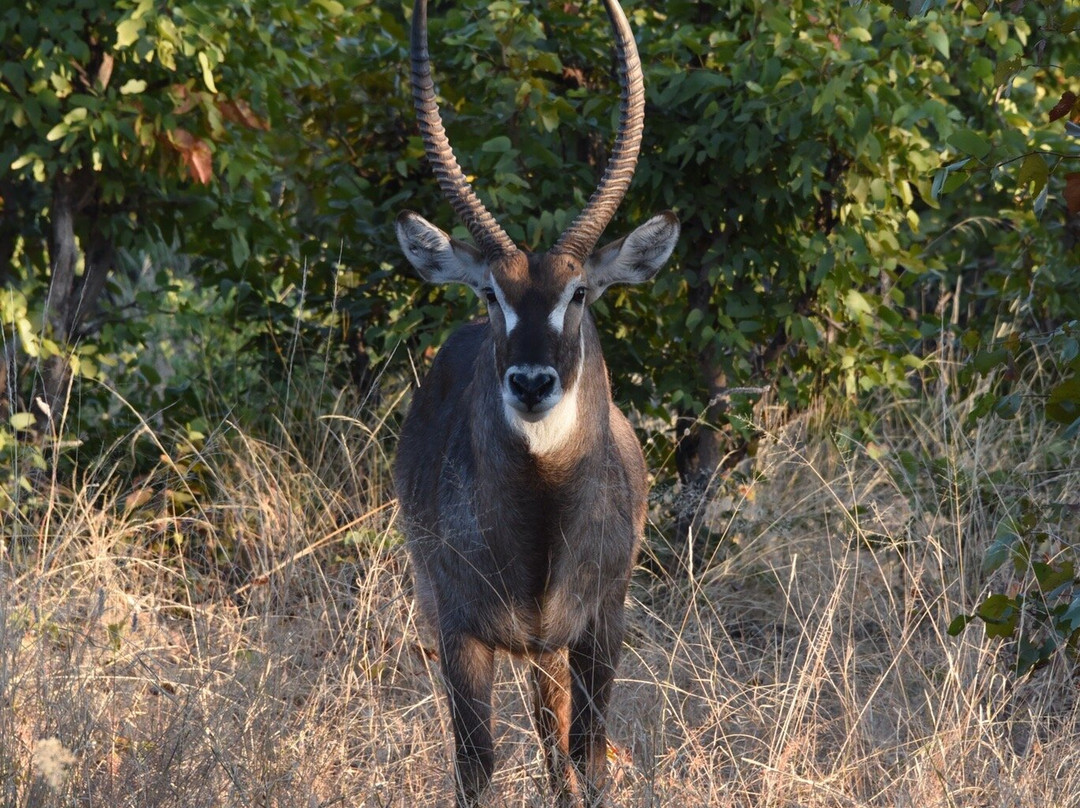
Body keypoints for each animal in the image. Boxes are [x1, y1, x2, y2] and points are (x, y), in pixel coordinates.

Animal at [393, 0, 679, 805]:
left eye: (580, 291)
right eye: (491, 292)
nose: (530, 382)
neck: (540, 516)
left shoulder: (602, 625)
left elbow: (587, 754)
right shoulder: (460, 633)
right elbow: (475, 765)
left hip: (554, 650)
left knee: (560, 751)